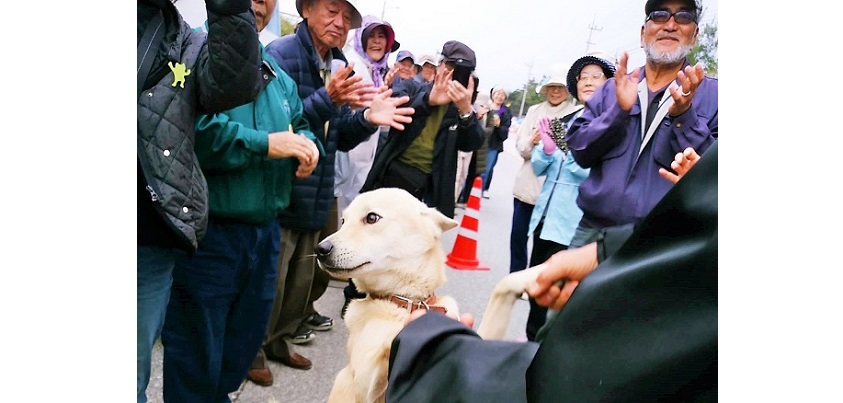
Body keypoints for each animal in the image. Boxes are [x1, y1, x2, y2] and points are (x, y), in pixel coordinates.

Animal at [316, 189, 540, 403]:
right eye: (343, 221)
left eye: (371, 217)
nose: (320, 249)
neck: (407, 301)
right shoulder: (366, 384)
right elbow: (388, 345)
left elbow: (501, 289)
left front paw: (536, 274)